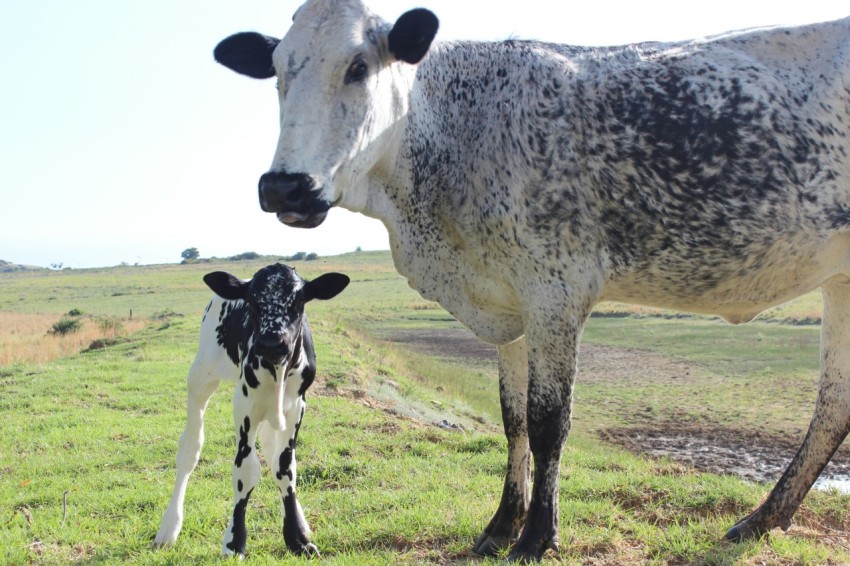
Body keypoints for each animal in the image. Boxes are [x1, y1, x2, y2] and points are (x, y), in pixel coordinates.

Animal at [154, 263, 349, 558]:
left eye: (298, 301)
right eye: (253, 302)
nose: (272, 343)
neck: (277, 371)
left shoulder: (296, 407)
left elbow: (284, 466)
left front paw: (297, 537)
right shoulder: (244, 405)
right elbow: (246, 470)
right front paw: (234, 541)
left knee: (271, 450)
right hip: (200, 377)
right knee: (190, 447)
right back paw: (168, 528)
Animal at [212, 0, 850, 561]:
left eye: (358, 67)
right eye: (277, 70)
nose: (284, 186)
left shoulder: (556, 294)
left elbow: (548, 424)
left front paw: (537, 536)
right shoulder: (510, 309)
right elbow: (512, 419)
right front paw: (501, 525)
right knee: (834, 405)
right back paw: (763, 519)